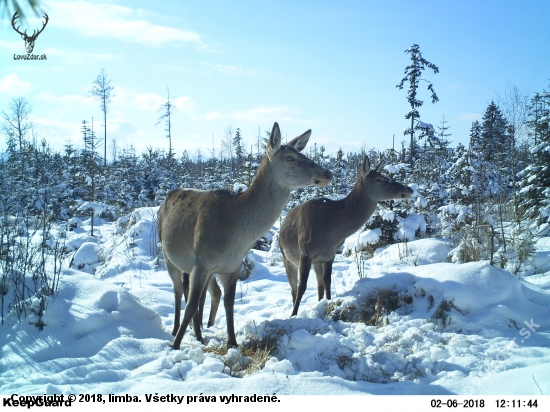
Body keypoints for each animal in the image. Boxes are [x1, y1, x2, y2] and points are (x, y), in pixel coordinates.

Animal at [157, 122, 334, 348]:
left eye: (301, 153)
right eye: (289, 158)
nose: (327, 173)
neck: (234, 236)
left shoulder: (231, 267)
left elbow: (229, 303)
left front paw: (232, 342)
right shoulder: (201, 262)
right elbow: (191, 304)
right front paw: (176, 345)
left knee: (200, 296)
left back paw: (198, 334)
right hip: (168, 255)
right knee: (179, 290)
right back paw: (175, 330)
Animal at [280, 156, 414, 318]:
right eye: (379, 179)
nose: (409, 189)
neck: (331, 230)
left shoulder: (330, 254)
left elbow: (327, 281)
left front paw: (328, 302)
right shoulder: (306, 252)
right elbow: (302, 286)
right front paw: (293, 315)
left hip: (316, 261)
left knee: (318, 285)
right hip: (287, 257)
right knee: (293, 288)